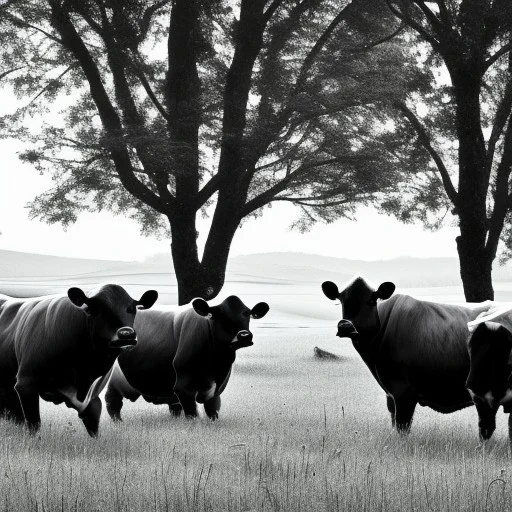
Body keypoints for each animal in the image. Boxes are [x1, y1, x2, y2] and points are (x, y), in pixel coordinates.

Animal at [0, 284, 158, 436]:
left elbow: (93, 427)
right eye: (95, 308)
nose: (126, 333)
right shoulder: (26, 383)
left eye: (132, 308)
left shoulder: (93, 397)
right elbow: (34, 425)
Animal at [105, 296, 270, 420]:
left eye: (248, 313)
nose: (244, 335)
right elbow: (192, 414)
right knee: (112, 402)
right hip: (113, 380)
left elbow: (213, 410)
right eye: (219, 315)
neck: (217, 364)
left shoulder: (217, 389)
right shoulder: (183, 387)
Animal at [322, 278, 494, 434]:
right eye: (340, 299)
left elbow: (402, 427)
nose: (345, 325)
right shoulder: (390, 396)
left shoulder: (403, 392)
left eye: (371, 300)